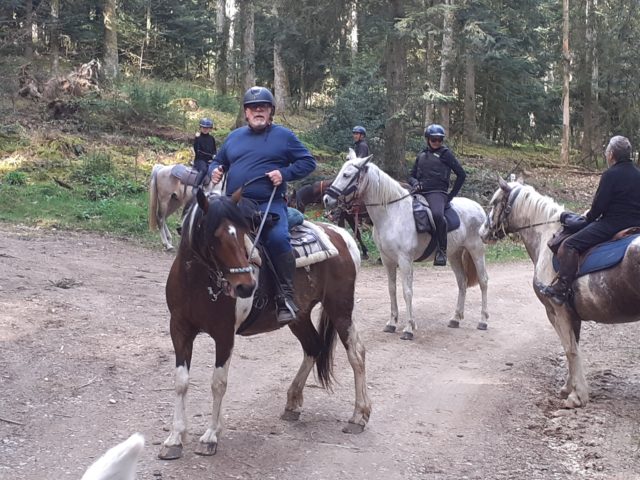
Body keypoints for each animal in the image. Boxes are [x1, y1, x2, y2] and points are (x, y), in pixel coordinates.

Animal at [158, 189, 371, 459]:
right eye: (214, 236)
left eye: (242, 232)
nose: (245, 286)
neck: (198, 282)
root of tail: (342, 235)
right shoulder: (180, 330)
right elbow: (181, 382)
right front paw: (174, 439)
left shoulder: (224, 334)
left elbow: (218, 383)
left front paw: (211, 436)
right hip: (299, 316)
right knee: (313, 346)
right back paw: (293, 402)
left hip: (340, 308)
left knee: (356, 353)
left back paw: (359, 416)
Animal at [324, 149, 489, 340]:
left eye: (347, 175)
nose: (326, 199)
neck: (392, 214)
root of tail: (479, 208)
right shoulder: (387, 260)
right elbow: (392, 289)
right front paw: (392, 323)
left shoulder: (404, 260)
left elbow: (407, 291)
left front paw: (409, 328)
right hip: (454, 254)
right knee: (462, 282)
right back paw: (455, 318)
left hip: (476, 250)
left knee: (483, 281)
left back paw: (483, 320)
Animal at [480, 178, 640, 408]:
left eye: (494, 203)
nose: (482, 232)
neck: (547, 235)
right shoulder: (572, 315)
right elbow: (574, 347)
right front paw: (568, 387)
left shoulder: (556, 311)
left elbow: (570, 349)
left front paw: (577, 396)